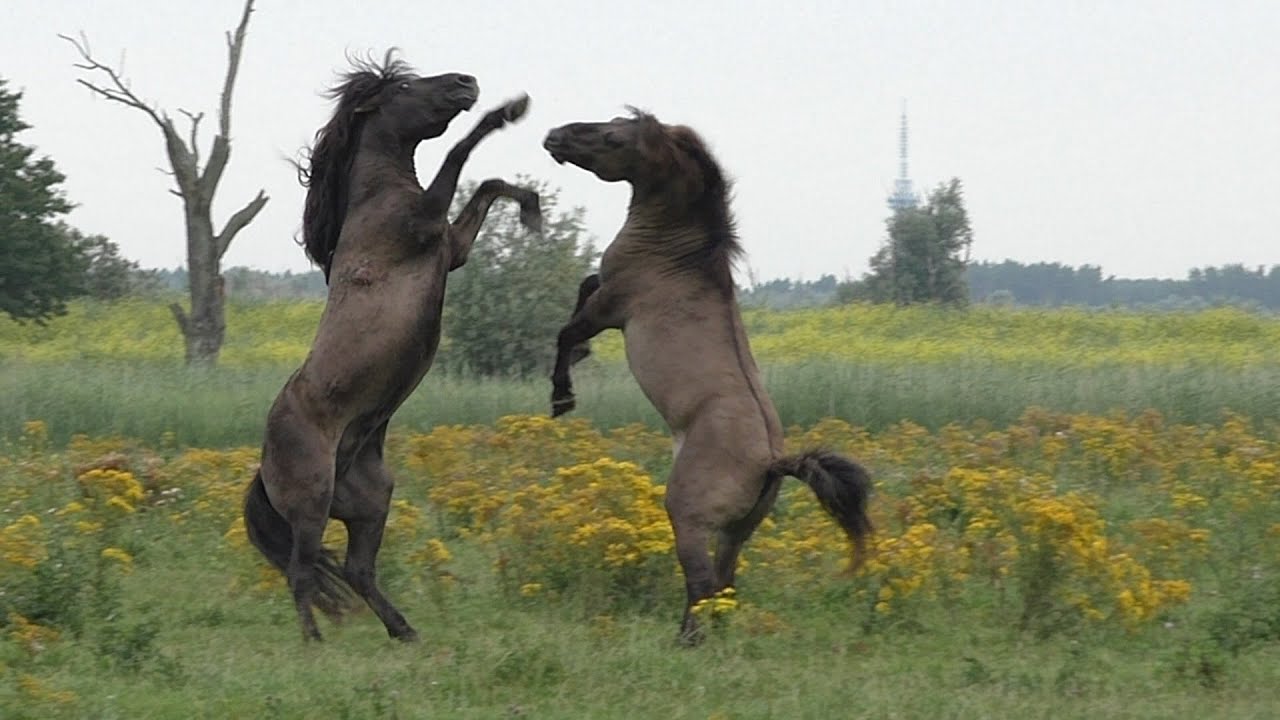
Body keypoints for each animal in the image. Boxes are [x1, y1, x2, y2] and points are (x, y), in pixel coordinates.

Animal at [243, 51, 541, 642]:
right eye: (402, 87)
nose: (466, 82)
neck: (374, 198)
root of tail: (263, 468)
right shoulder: (425, 222)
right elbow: (461, 151)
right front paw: (508, 112)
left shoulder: (452, 245)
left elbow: (488, 183)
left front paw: (532, 208)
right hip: (312, 504)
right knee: (301, 571)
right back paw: (315, 644)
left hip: (370, 502)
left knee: (357, 570)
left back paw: (405, 631)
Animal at [543, 110, 872, 643]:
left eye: (613, 136)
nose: (554, 136)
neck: (675, 253)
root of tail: (772, 461)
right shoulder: (605, 294)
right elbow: (583, 286)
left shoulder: (611, 308)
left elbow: (567, 329)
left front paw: (562, 396)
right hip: (738, 531)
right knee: (723, 584)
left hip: (689, 518)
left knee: (702, 583)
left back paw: (685, 642)